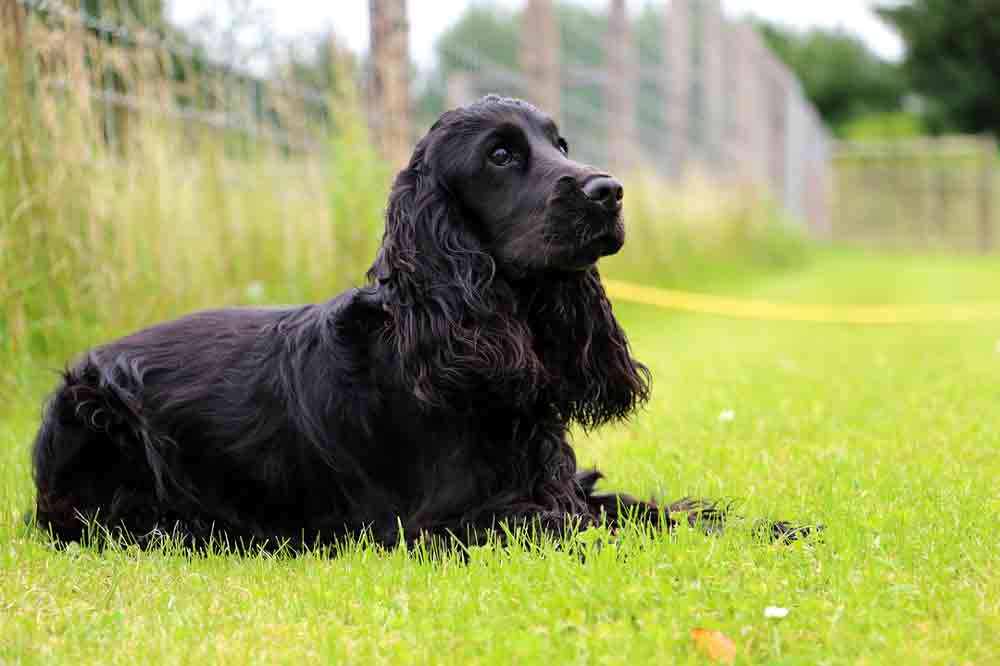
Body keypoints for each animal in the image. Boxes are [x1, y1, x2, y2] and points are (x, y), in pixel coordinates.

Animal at [31, 94, 704, 548]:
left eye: (559, 146)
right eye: (500, 155)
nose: (609, 191)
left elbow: (647, 510)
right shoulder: (436, 524)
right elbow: (582, 528)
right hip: (98, 419)